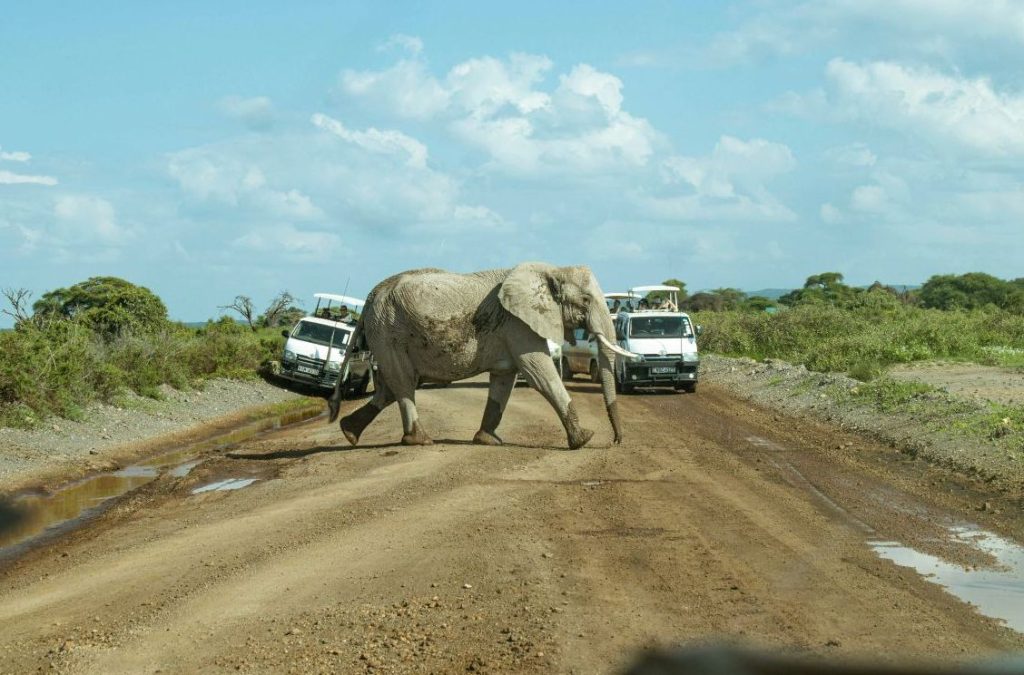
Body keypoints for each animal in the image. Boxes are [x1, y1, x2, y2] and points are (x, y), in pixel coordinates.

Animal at [327, 262, 638, 449]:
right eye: (586, 300)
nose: (616, 442)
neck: (550, 269)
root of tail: (371, 295)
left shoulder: (510, 330)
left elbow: (504, 381)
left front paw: (488, 440)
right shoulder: (517, 324)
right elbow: (540, 374)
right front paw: (584, 440)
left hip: (386, 334)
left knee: (392, 387)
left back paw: (349, 432)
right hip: (389, 332)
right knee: (403, 384)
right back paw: (421, 441)